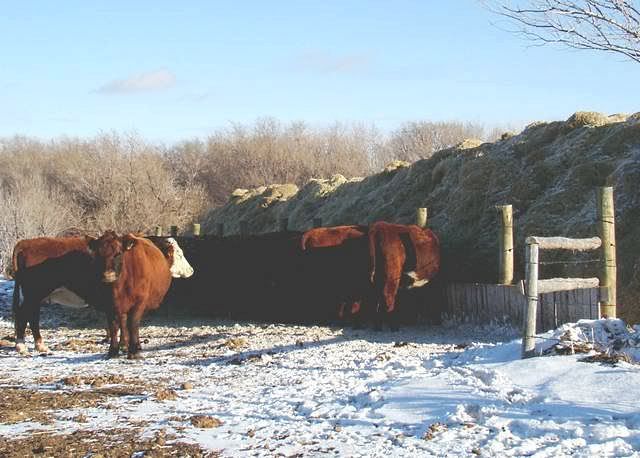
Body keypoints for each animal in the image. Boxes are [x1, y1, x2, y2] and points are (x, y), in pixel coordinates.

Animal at [9, 234, 193, 355]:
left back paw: (38, 345)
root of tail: (26, 243)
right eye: (179, 254)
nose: (191, 270)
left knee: (32, 316)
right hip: (34, 294)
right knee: (25, 314)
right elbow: (123, 323)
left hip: (35, 297)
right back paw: (22, 346)